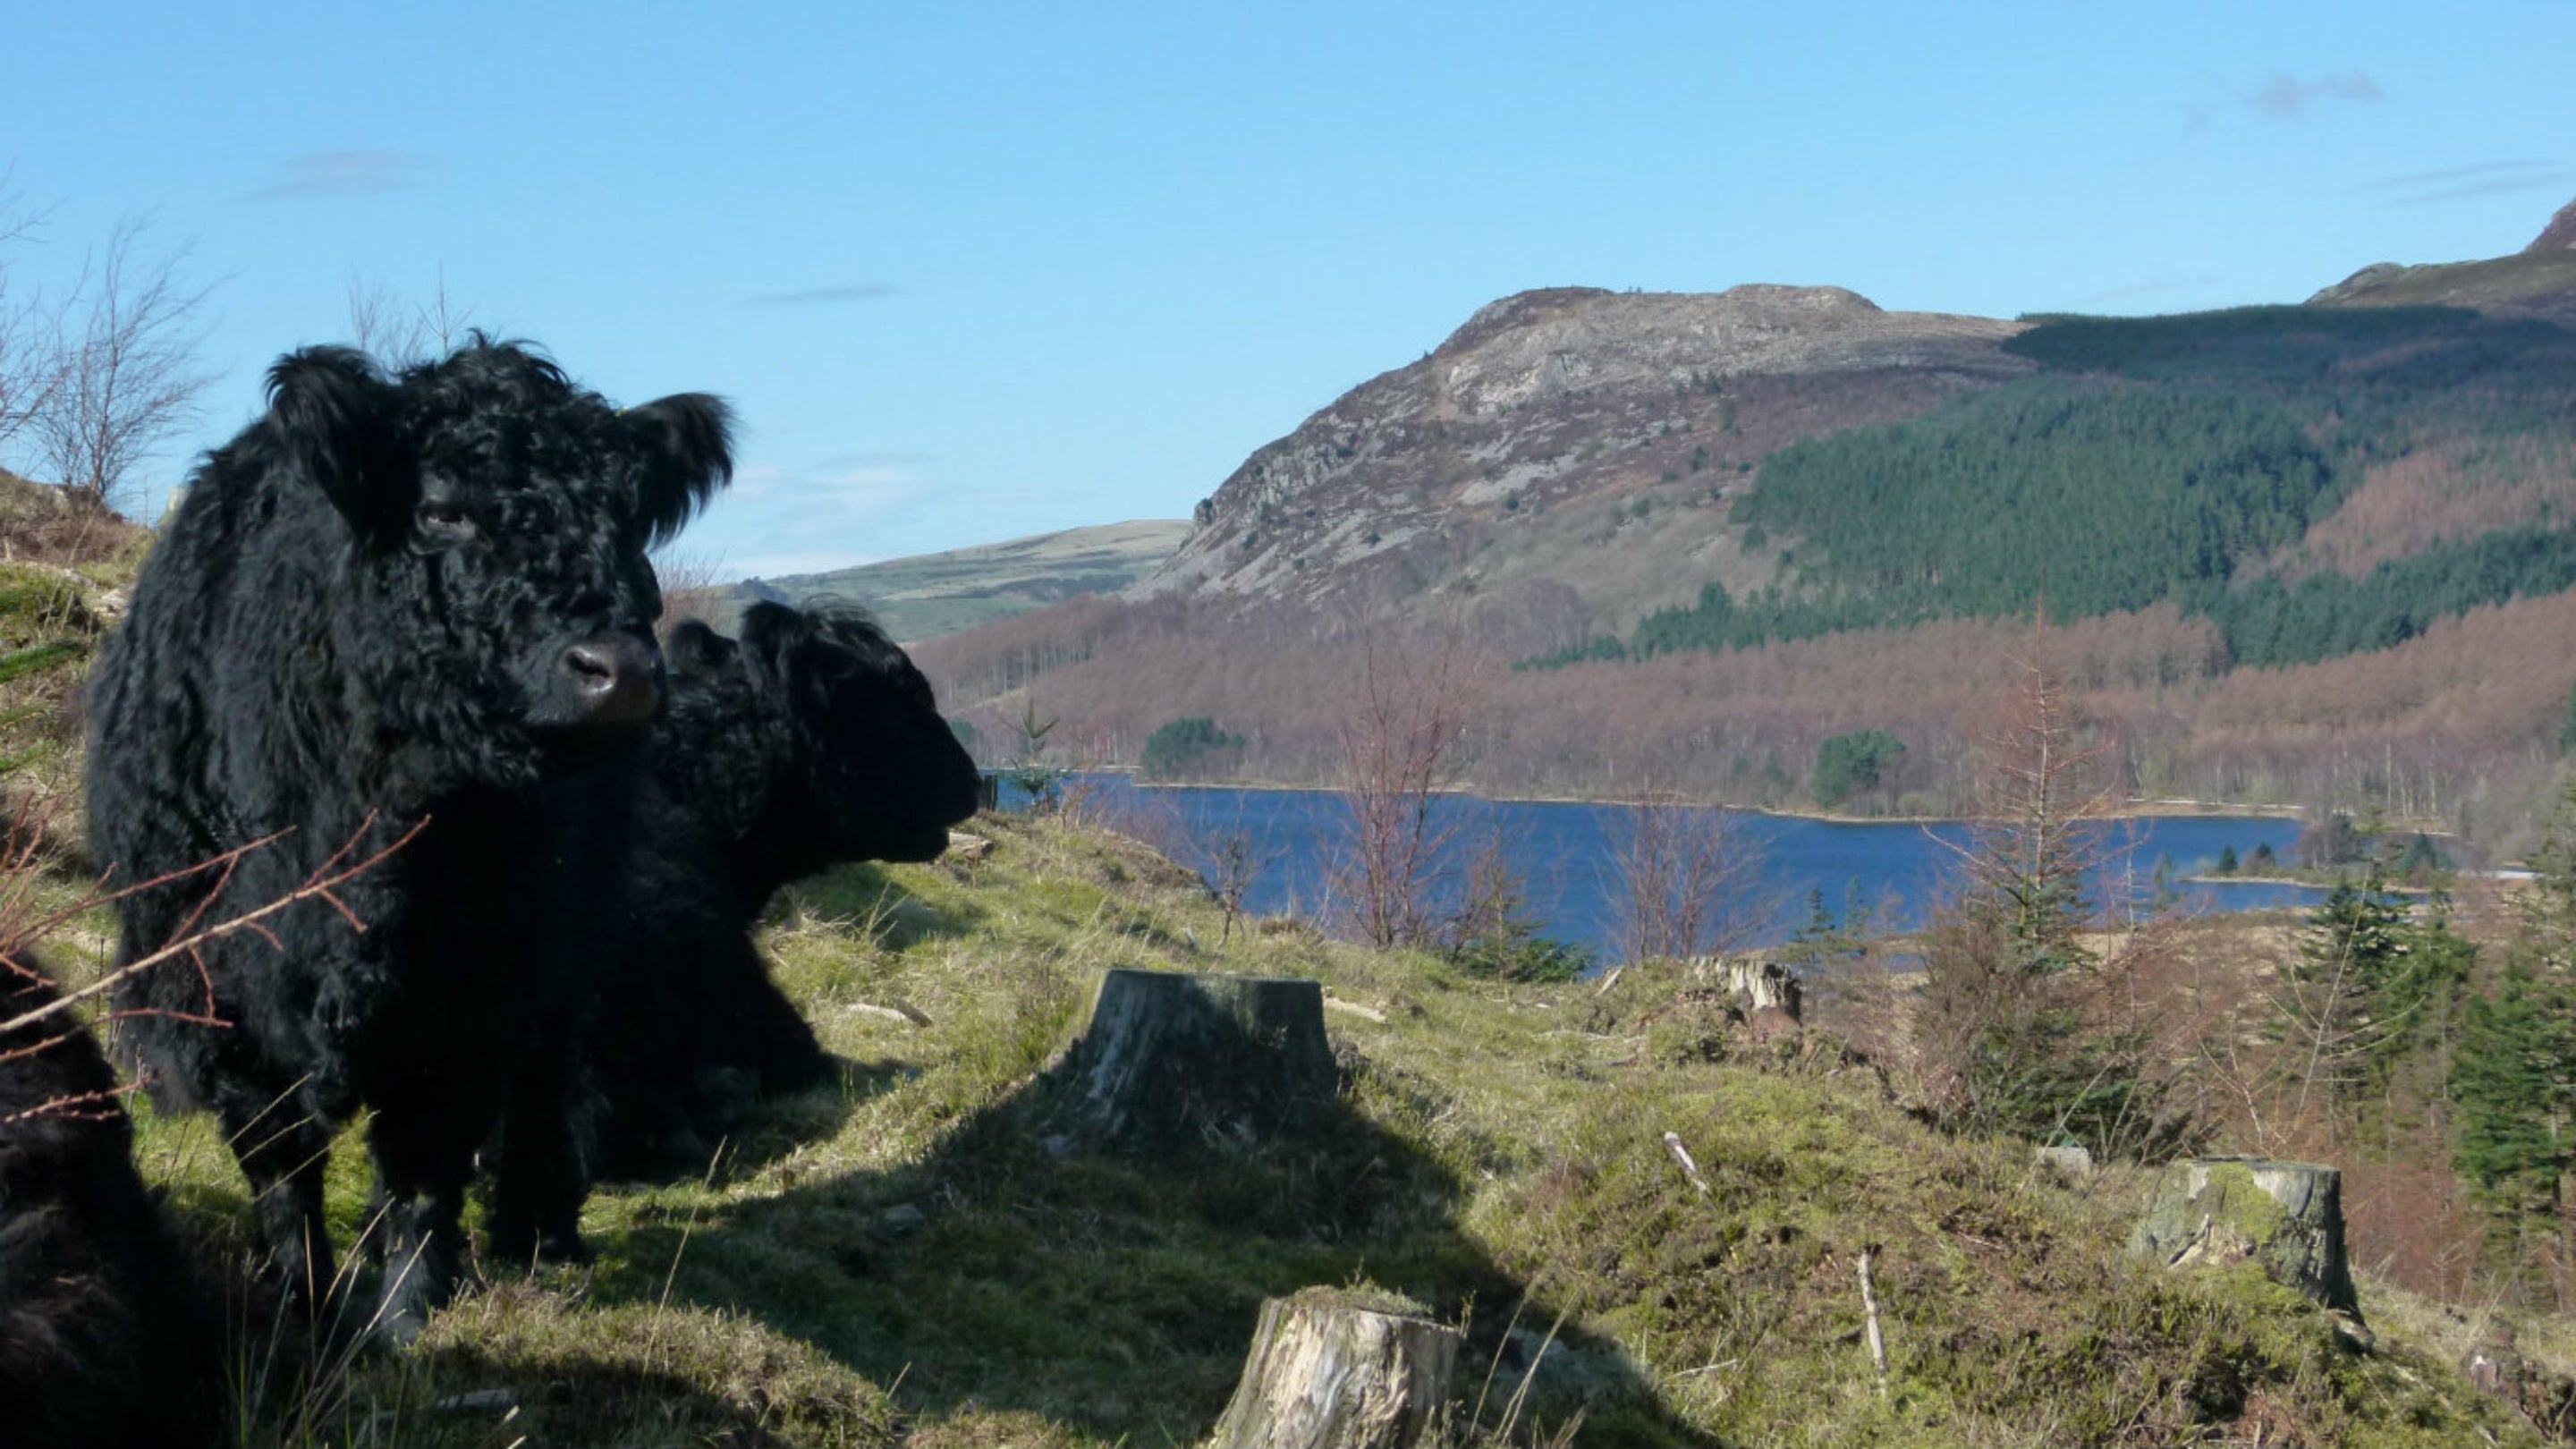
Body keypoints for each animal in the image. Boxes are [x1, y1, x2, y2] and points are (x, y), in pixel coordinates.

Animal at [84, 337, 731, 1341]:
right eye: (443, 510)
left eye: (627, 517)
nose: (620, 670)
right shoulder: (221, 988)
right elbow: (279, 1163)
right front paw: (298, 1300)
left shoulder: (469, 991)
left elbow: (424, 1163)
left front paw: (407, 1315)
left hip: (571, 933)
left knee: (545, 1080)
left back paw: (536, 1235)